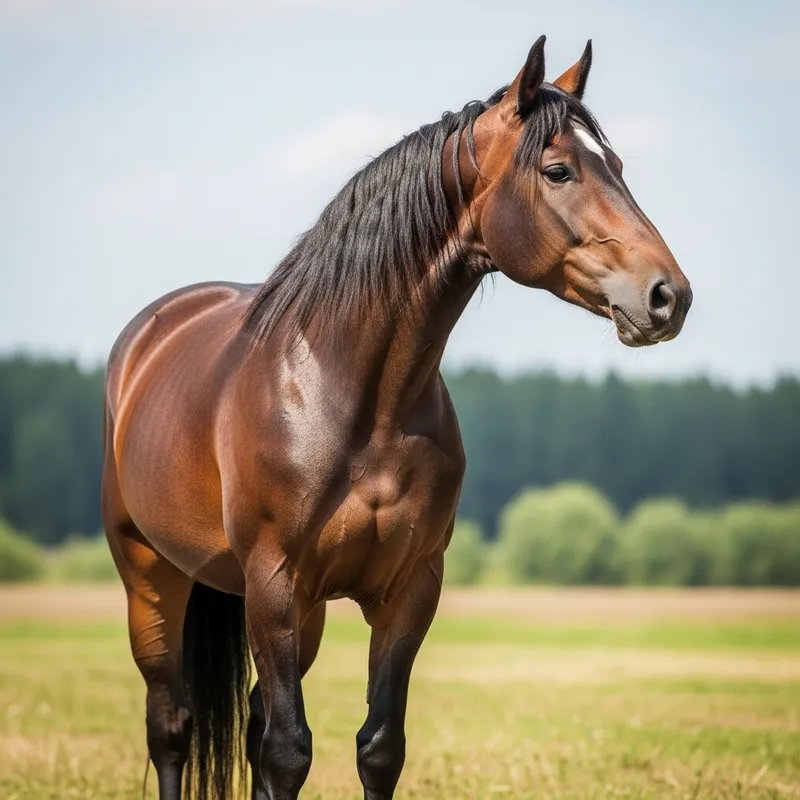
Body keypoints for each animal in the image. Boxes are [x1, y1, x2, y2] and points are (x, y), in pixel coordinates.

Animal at [102, 35, 692, 800]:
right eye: (558, 169)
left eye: (617, 168)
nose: (668, 296)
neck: (356, 398)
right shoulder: (274, 584)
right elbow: (288, 751)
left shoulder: (408, 590)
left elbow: (377, 747)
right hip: (152, 576)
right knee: (172, 723)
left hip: (301, 612)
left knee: (254, 717)